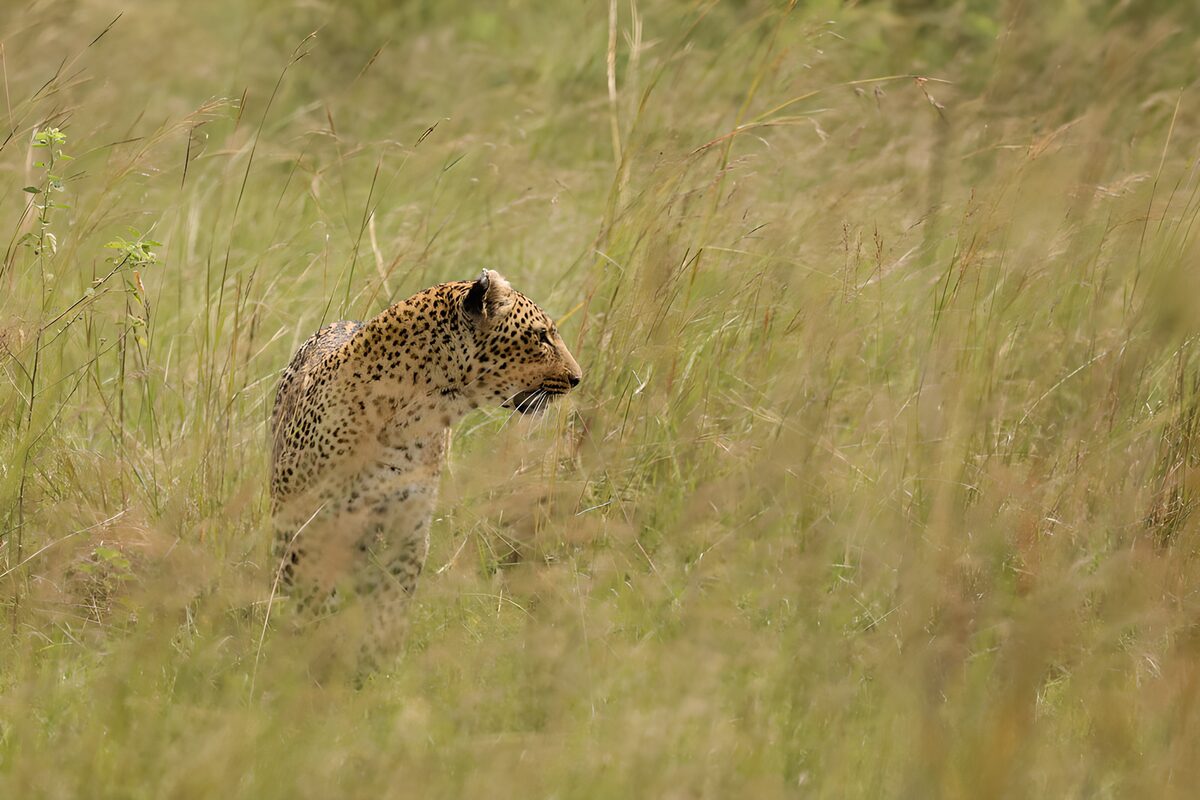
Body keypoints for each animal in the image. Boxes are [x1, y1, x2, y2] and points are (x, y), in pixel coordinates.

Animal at [269, 269, 582, 674]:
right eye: (542, 336)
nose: (577, 378)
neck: (415, 420)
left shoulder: (407, 529)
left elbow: (390, 606)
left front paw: (379, 665)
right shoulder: (308, 524)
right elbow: (310, 599)